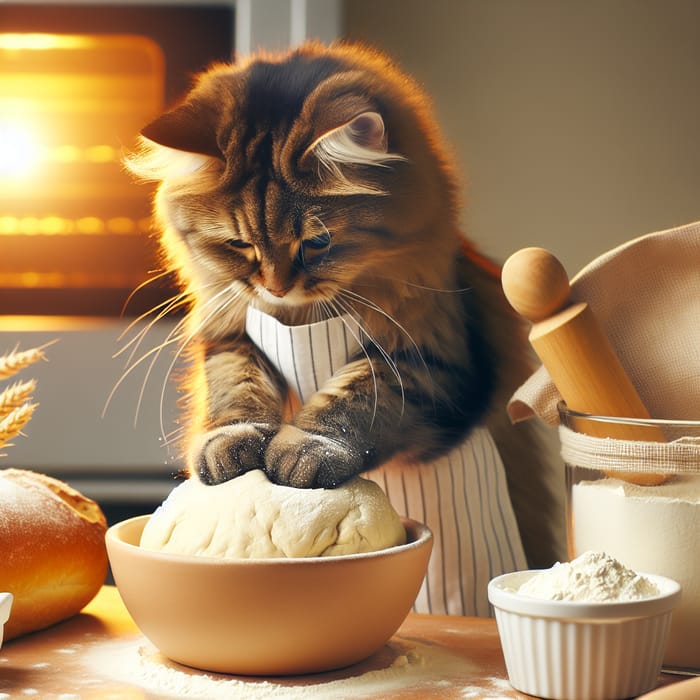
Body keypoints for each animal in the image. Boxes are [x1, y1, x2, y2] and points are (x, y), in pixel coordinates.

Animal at [124, 41, 564, 568]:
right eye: (239, 244)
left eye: (317, 243)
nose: (275, 287)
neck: (298, 318)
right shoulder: (232, 336)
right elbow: (236, 392)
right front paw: (230, 446)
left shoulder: (431, 360)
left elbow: (350, 400)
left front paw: (303, 452)